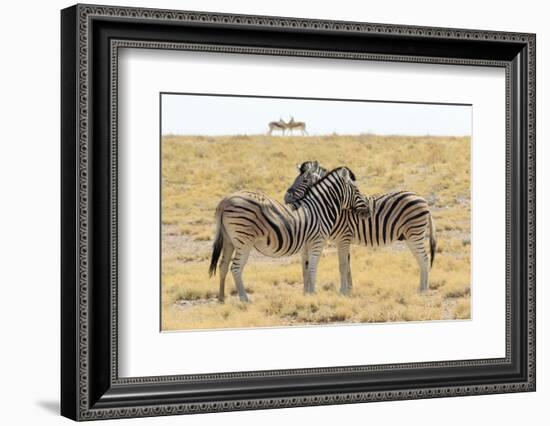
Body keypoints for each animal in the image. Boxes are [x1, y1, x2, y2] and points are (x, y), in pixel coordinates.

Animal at [209, 166, 368, 302]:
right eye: (356, 190)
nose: (367, 211)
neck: (319, 208)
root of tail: (226, 200)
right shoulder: (318, 241)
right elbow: (313, 267)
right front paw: (313, 294)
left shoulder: (306, 243)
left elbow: (306, 267)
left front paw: (307, 293)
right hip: (244, 241)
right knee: (235, 268)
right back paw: (244, 299)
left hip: (229, 240)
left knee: (223, 266)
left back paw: (222, 298)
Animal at [286, 161, 438, 294]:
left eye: (304, 180)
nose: (286, 198)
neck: (335, 207)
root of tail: (423, 199)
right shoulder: (341, 241)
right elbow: (347, 266)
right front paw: (349, 289)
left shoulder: (343, 238)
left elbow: (342, 266)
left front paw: (343, 291)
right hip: (409, 236)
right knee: (420, 259)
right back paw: (420, 289)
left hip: (415, 233)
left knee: (424, 259)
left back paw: (424, 290)